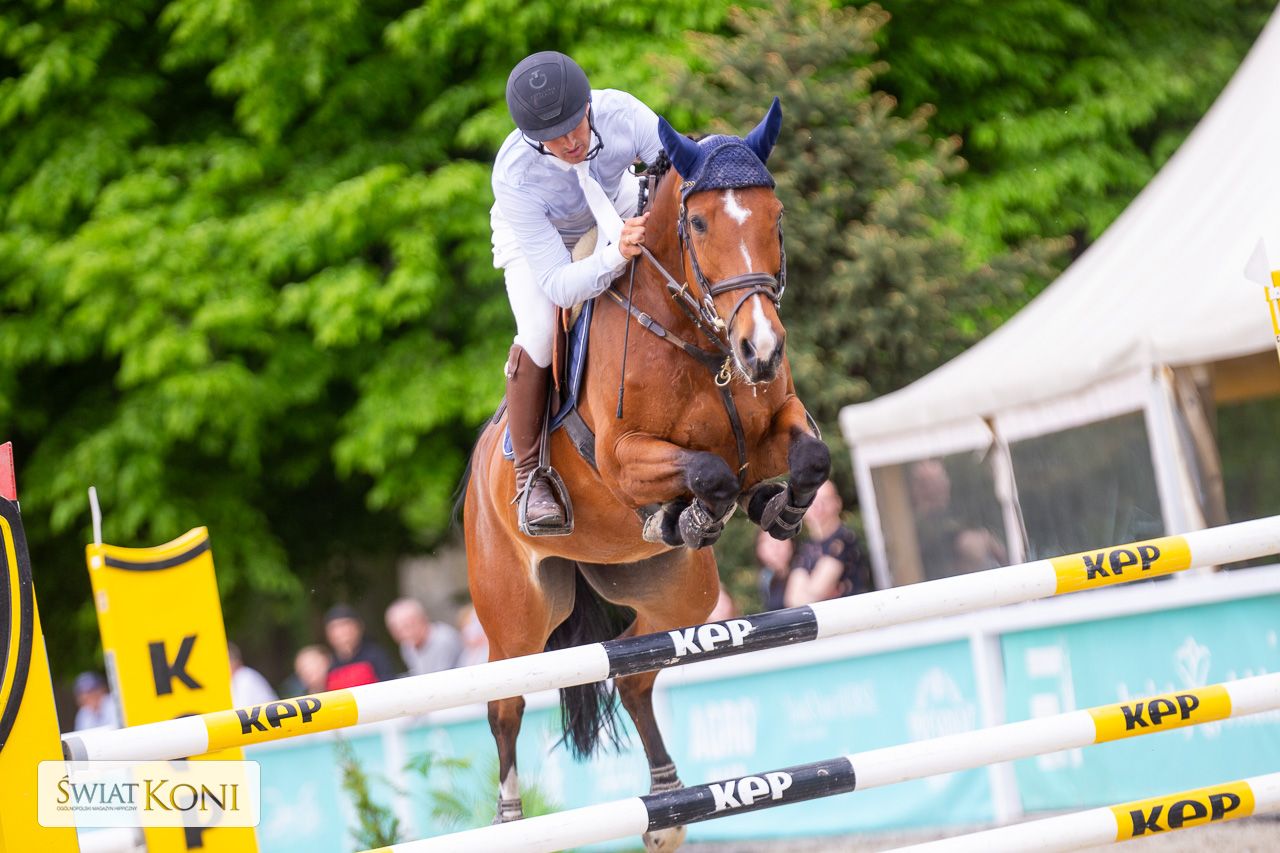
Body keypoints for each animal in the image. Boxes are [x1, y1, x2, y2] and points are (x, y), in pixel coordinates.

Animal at [463, 97, 830, 852]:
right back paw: (510, 818)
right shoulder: (625, 459)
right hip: (516, 620)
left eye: (775, 216)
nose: (761, 349)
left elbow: (808, 458)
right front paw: (694, 511)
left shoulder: (774, 425)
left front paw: (774, 511)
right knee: (505, 704)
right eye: (699, 224)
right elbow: (711, 472)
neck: (697, 339)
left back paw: (667, 804)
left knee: (633, 669)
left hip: (680, 596)